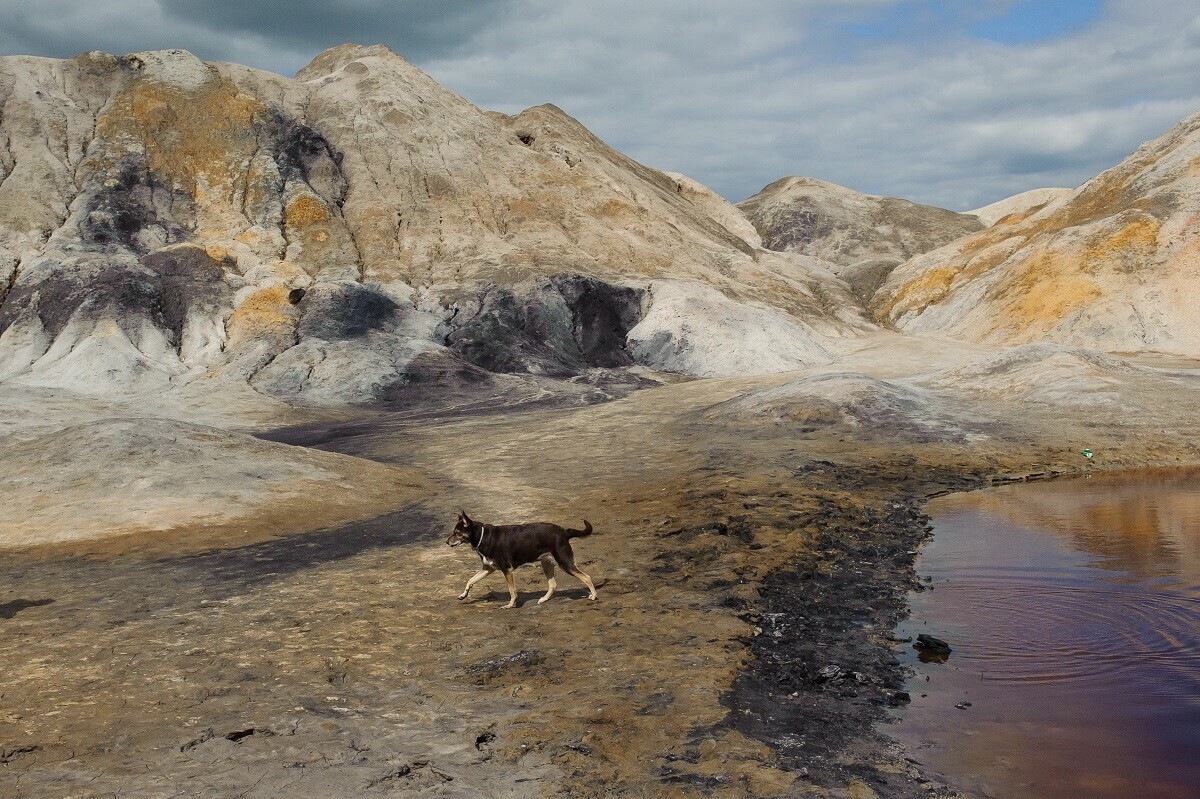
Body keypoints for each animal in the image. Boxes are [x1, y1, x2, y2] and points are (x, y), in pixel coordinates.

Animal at [448, 513, 597, 607]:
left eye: (457, 533)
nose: (446, 542)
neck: (483, 537)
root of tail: (564, 532)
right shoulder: (488, 569)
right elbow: (470, 580)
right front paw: (463, 595)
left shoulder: (507, 570)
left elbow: (512, 591)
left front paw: (510, 605)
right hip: (546, 563)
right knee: (553, 585)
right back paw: (543, 599)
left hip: (565, 563)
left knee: (587, 577)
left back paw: (594, 596)